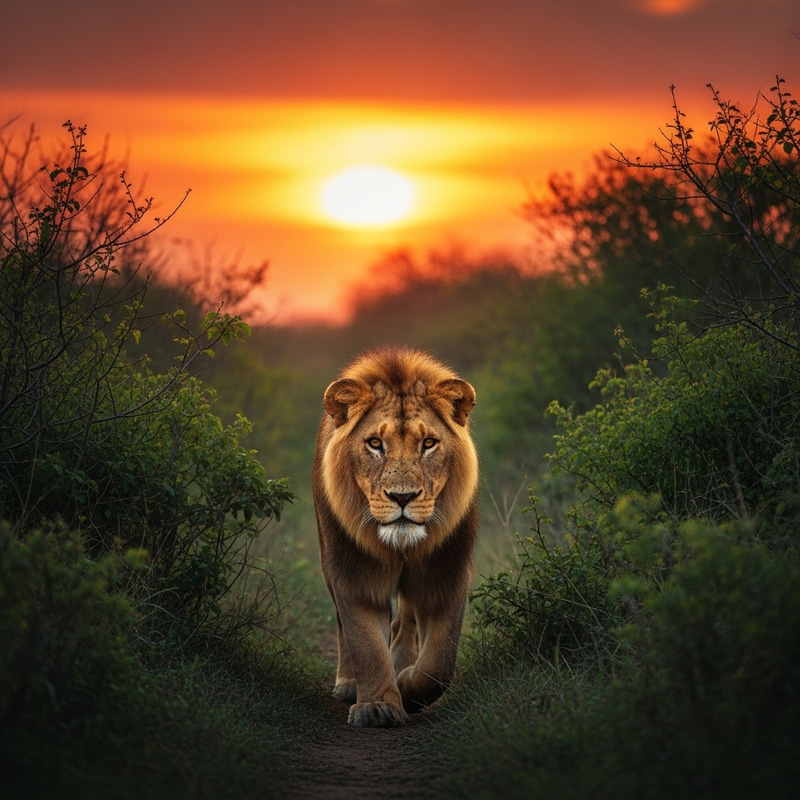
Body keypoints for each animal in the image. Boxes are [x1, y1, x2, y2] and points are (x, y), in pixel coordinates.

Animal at [312, 346, 479, 727]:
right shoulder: (353, 574)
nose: (402, 497)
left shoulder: (446, 573)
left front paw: (406, 687)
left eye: (428, 444)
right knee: (343, 626)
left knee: (406, 619)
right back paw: (348, 684)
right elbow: (366, 645)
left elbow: (438, 665)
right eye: (375, 444)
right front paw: (377, 707)